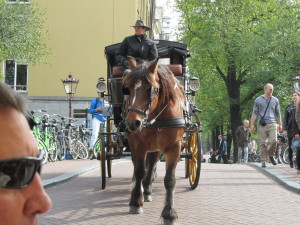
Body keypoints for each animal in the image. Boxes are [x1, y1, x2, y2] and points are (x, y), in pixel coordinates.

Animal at [122, 57, 185, 224]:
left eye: (149, 89)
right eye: (127, 89)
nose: (133, 123)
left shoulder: (174, 147)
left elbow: (169, 179)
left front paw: (169, 213)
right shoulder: (138, 145)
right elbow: (139, 171)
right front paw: (136, 202)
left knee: (152, 164)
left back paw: (148, 190)